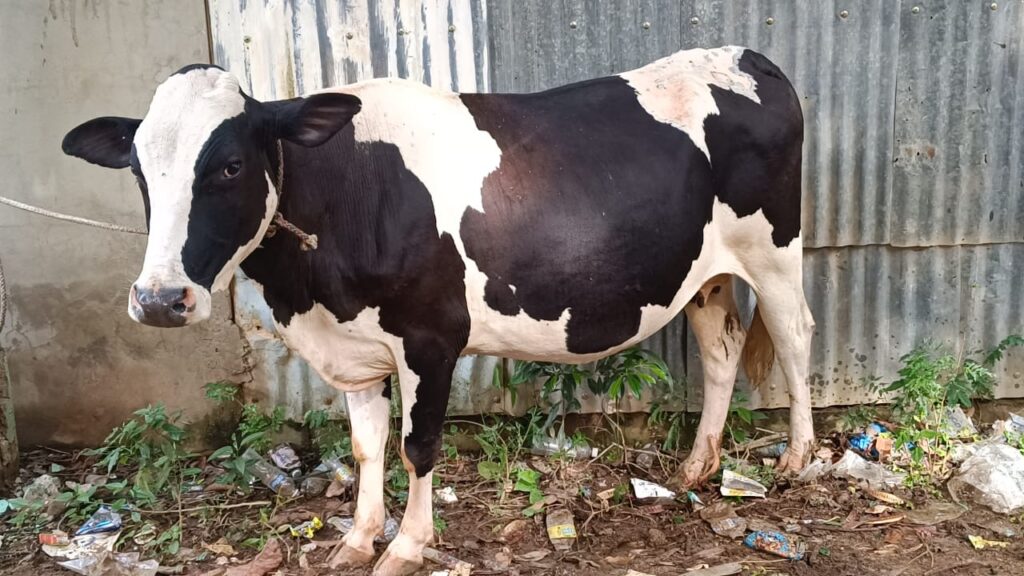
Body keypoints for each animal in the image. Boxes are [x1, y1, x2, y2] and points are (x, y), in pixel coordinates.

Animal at [61, 46, 814, 575]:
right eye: (139, 171)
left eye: (230, 166)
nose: (160, 299)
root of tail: (747, 56)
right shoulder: (354, 345)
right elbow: (366, 446)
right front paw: (359, 539)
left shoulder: (430, 336)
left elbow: (416, 445)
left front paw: (407, 547)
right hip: (704, 274)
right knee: (721, 349)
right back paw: (697, 467)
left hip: (775, 251)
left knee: (795, 337)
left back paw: (798, 459)